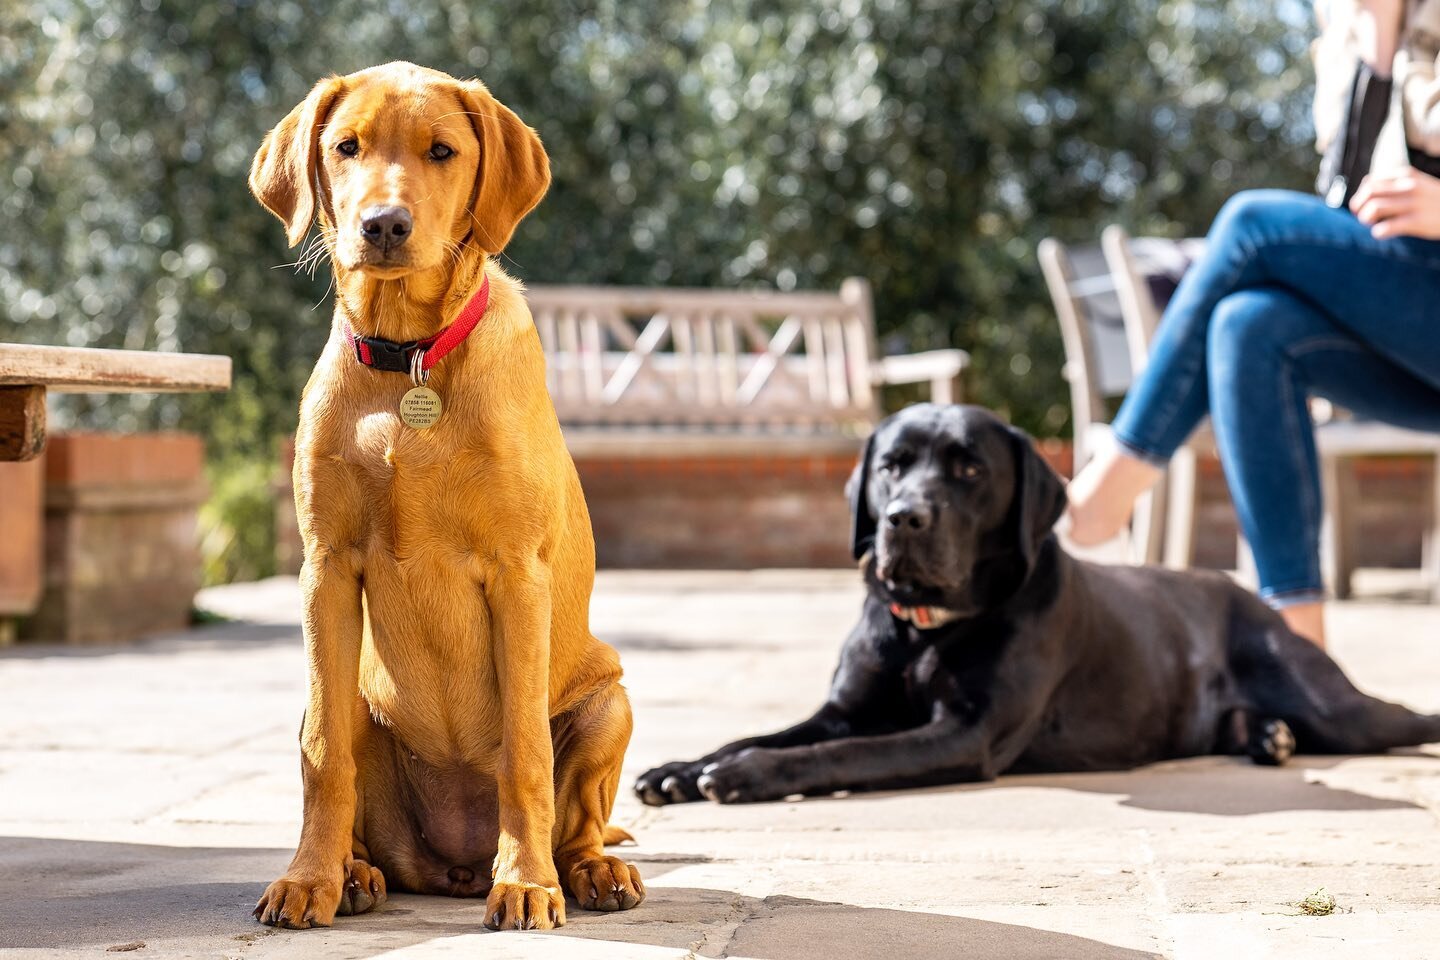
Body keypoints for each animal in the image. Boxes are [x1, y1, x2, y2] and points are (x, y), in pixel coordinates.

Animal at [250, 61, 645, 932]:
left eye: (442, 151)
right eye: (346, 147)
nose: (384, 225)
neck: (410, 359)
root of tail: (453, 868)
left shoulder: (517, 574)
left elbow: (525, 752)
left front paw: (526, 884)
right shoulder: (326, 570)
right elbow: (324, 758)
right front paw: (307, 878)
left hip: (609, 701)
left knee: (580, 818)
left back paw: (586, 872)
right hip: (349, 700)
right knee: (341, 768)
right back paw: (354, 872)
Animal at [636, 402, 1440, 805]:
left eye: (969, 469)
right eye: (891, 465)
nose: (902, 518)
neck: (927, 631)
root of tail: (1246, 594)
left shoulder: (967, 732)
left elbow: (843, 753)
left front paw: (746, 777)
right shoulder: (842, 706)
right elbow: (769, 733)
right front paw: (681, 767)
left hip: (1337, 707)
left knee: (1395, 717)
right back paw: (1267, 737)